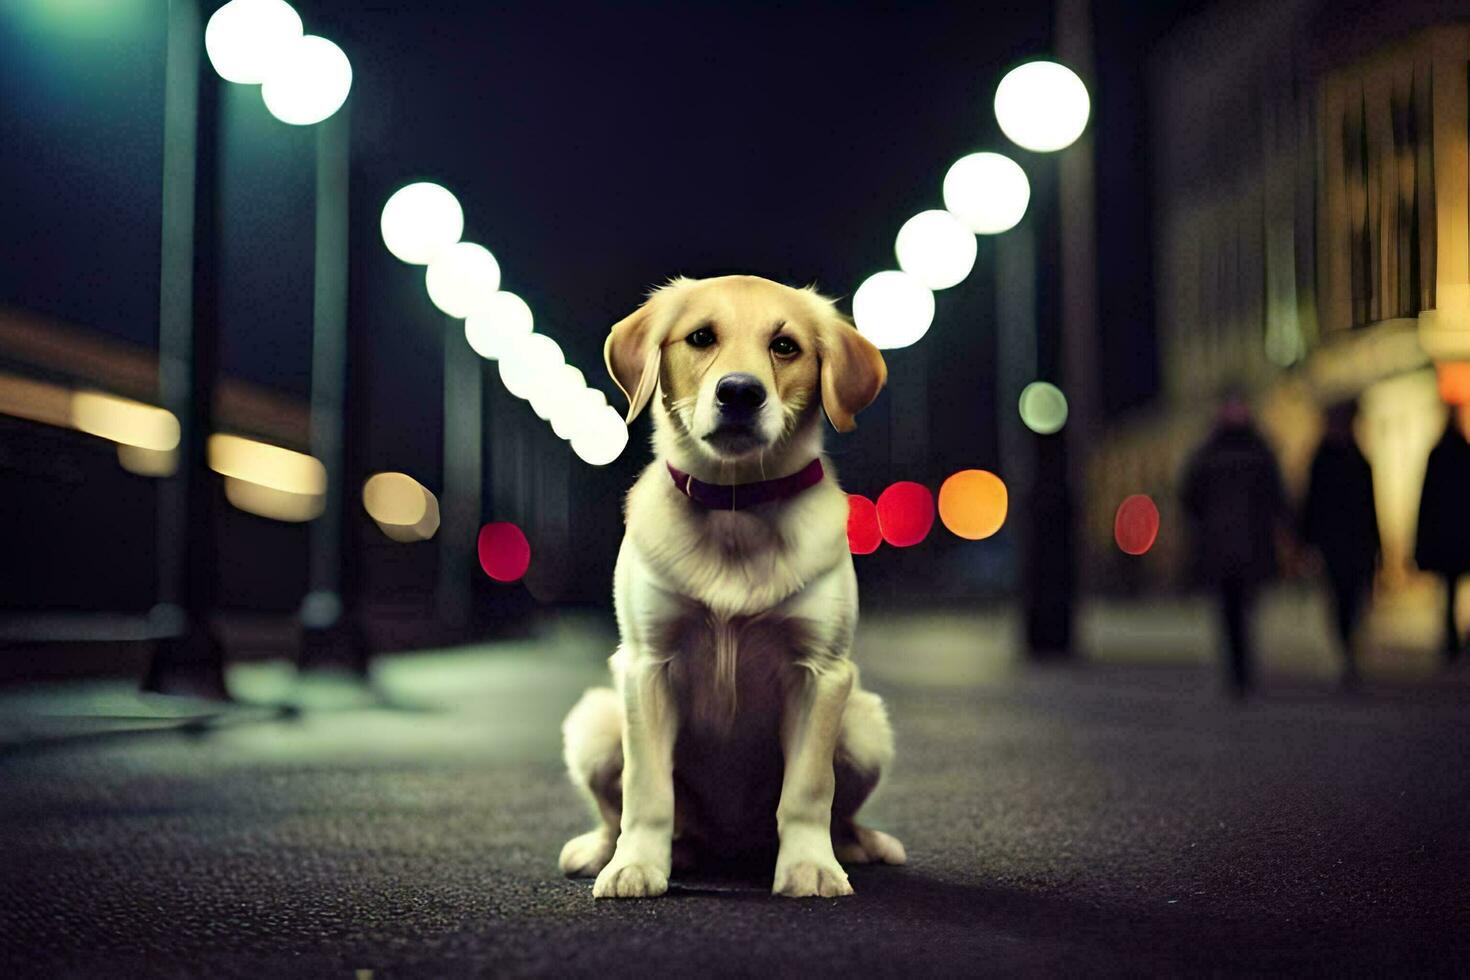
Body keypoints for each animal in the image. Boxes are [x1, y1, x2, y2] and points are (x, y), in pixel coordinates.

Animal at [561, 274, 905, 899]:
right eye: (701, 337)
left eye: (785, 346)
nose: (740, 392)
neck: (736, 504)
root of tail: (729, 847)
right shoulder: (646, 665)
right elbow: (647, 790)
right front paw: (635, 866)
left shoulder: (822, 674)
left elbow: (808, 791)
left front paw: (809, 867)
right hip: (595, 721)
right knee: (614, 809)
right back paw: (607, 850)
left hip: (866, 724)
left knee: (841, 812)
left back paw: (857, 845)